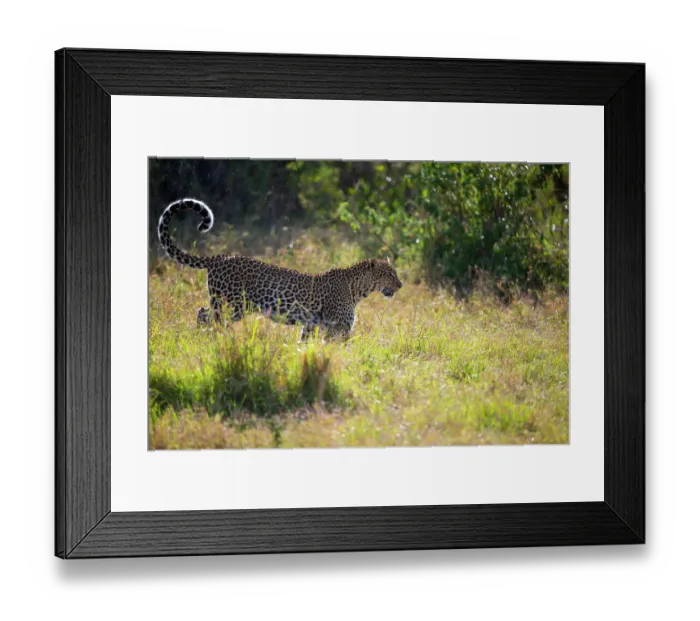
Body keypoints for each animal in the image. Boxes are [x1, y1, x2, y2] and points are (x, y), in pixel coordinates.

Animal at [157, 198, 403, 340]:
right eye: (389, 274)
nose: (401, 285)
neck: (357, 289)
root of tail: (220, 257)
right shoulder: (338, 329)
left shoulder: (311, 327)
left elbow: (306, 346)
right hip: (231, 305)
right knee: (208, 317)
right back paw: (216, 340)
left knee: (202, 312)